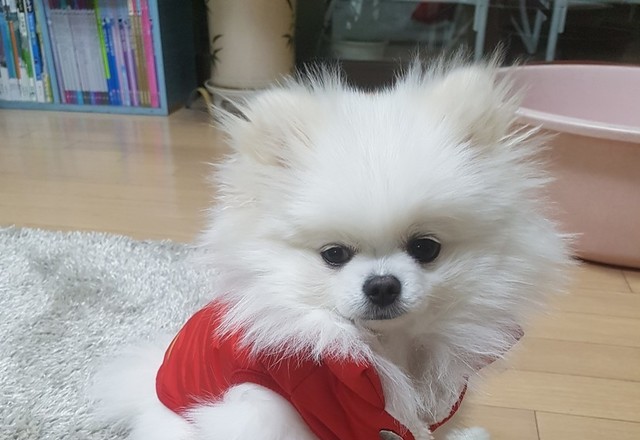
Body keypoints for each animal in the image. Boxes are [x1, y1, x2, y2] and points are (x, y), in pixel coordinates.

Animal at [92, 58, 570, 440]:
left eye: (425, 248)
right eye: (334, 254)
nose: (382, 285)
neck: (384, 349)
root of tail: (150, 388)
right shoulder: (261, 406)